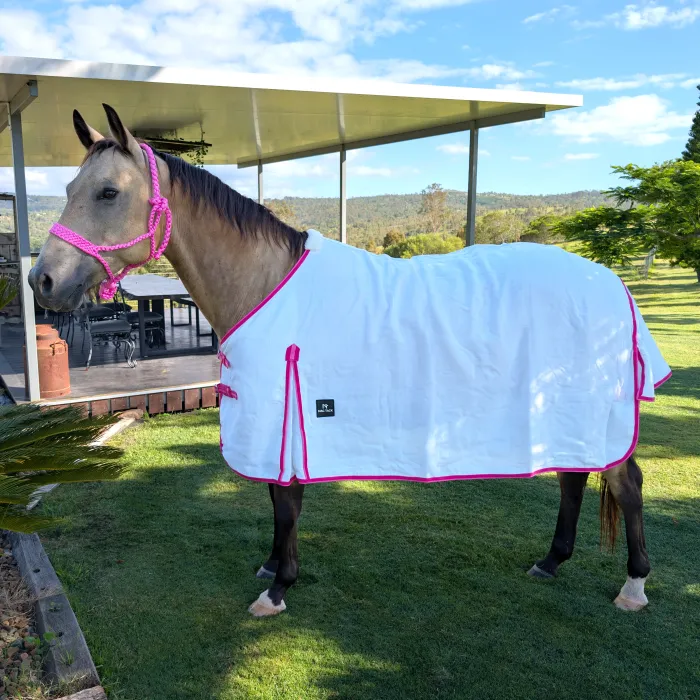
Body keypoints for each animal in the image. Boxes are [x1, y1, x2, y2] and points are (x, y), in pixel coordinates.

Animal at [29, 104, 670, 618]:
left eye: (108, 192)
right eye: (70, 186)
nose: (43, 281)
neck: (266, 284)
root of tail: (611, 282)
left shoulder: (287, 412)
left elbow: (286, 506)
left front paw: (277, 589)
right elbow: (275, 500)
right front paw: (272, 567)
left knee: (626, 483)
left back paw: (633, 586)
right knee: (574, 477)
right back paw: (551, 561)